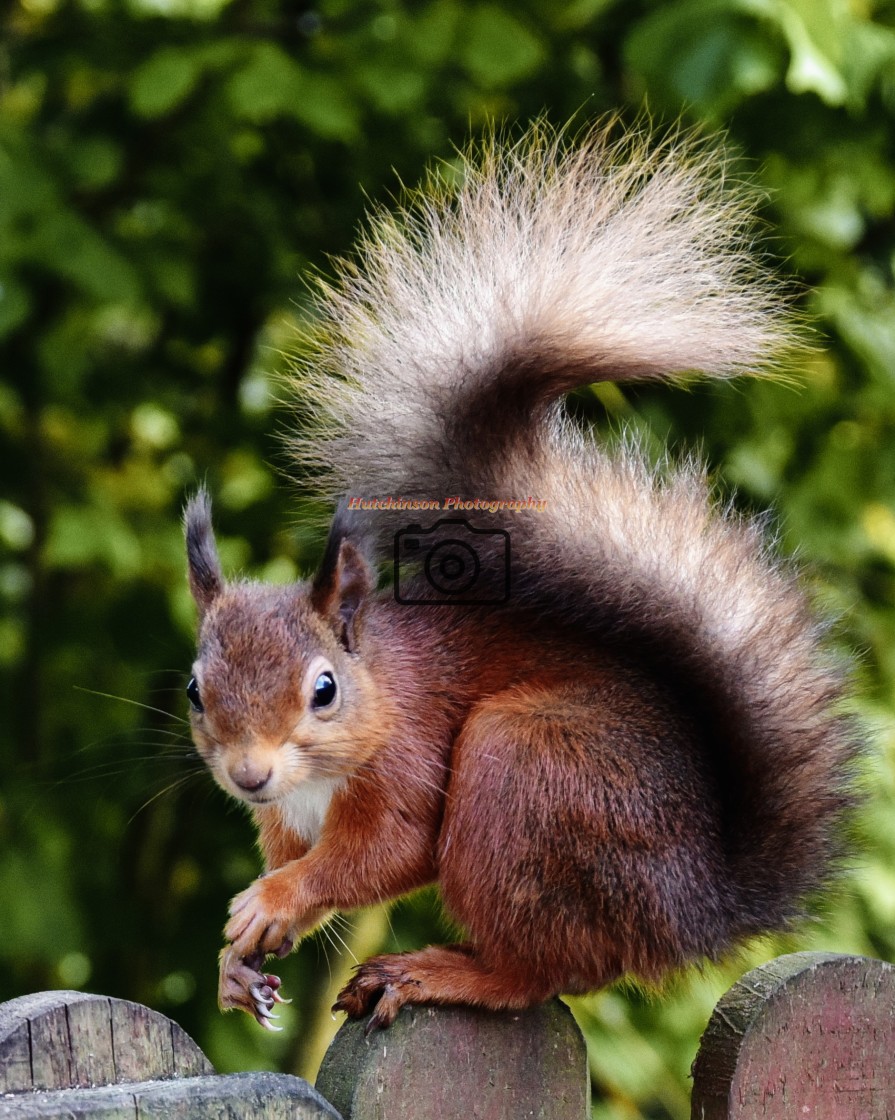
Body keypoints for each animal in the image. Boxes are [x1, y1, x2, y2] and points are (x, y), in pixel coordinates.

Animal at [183, 122, 860, 1030]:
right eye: (195, 690)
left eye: (324, 689)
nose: (248, 776)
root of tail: (694, 909)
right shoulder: (285, 820)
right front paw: (238, 961)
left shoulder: (409, 759)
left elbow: (382, 854)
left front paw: (272, 899)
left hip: (525, 773)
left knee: (541, 973)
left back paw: (436, 971)